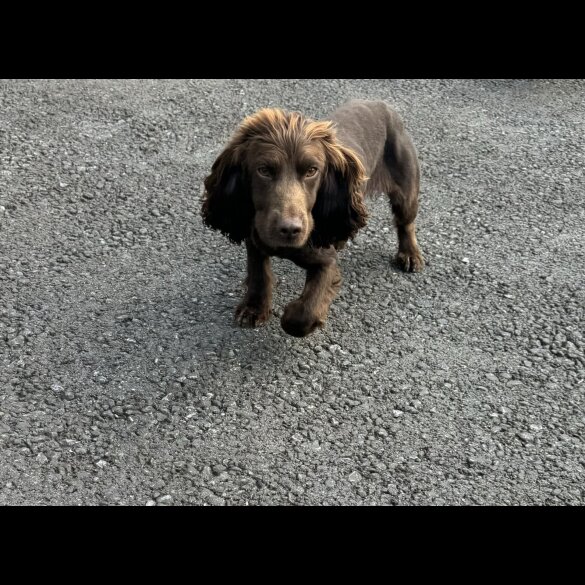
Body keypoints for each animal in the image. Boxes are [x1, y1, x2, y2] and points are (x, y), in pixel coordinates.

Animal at [200, 99, 420, 338]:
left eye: (312, 170)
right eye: (264, 170)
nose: (290, 229)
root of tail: (380, 104)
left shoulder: (326, 261)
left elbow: (304, 312)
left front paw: (295, 314)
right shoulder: (254, 233)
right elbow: (259, 273)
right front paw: (254, 308)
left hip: (406, 186)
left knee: (406, 223)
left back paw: (410, 254)